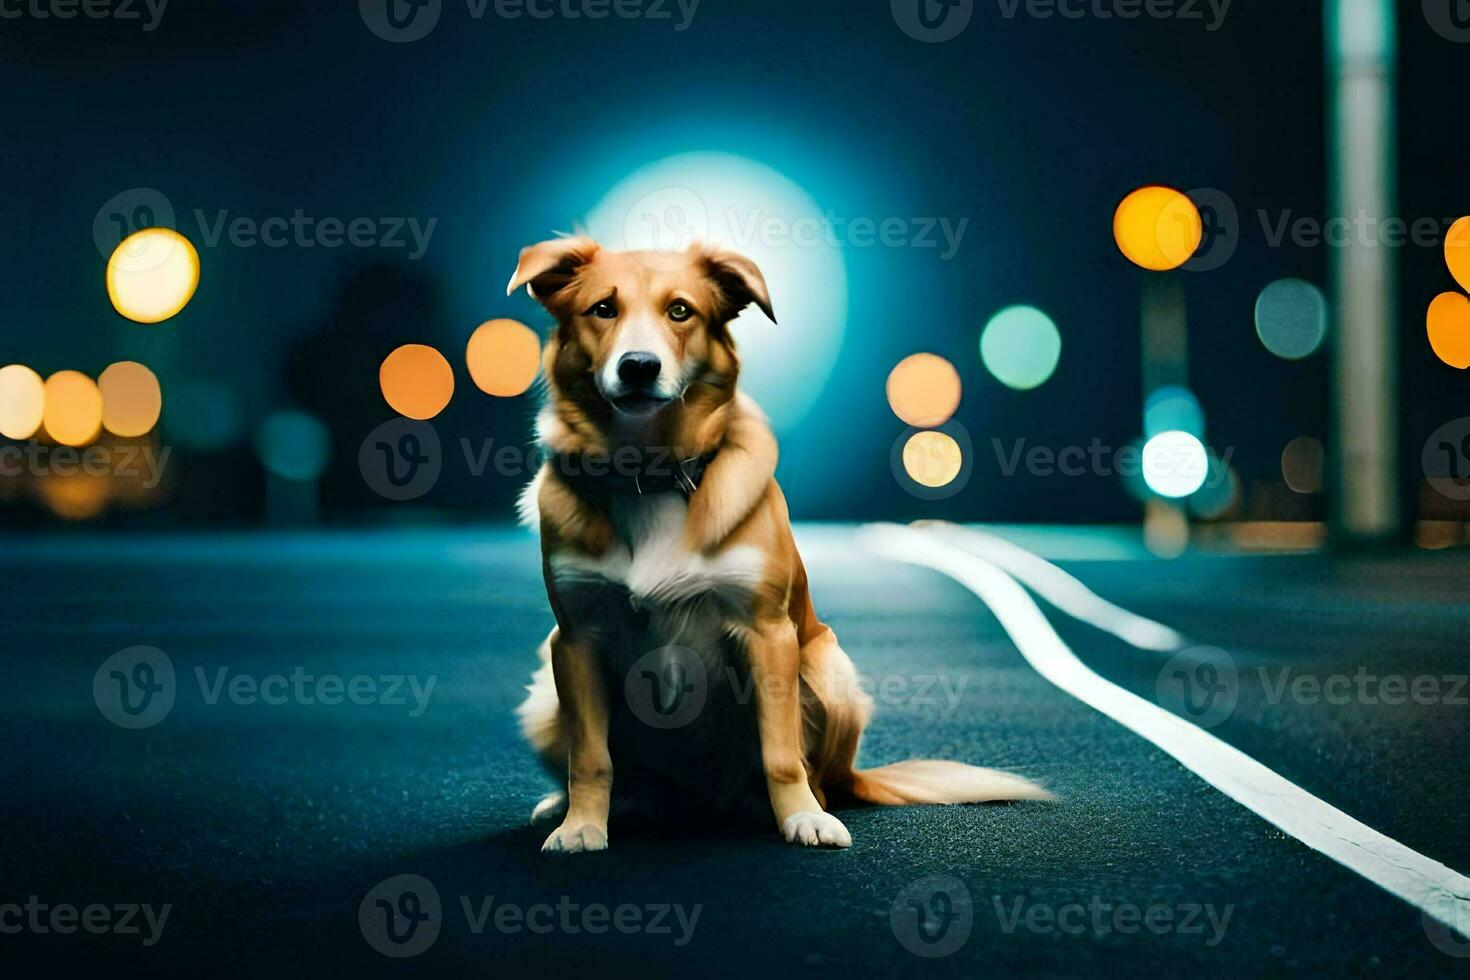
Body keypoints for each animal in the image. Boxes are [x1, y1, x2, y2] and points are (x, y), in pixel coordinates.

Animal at [511, 235, 1052, 852]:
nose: (639, 366)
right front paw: (581, 824)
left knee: (816, 774)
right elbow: (590, 755)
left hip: (831, 669)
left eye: (680, 311)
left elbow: (780, 753)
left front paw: (802, 818)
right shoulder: (575, 638)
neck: (651, 472)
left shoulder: (767, 632)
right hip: (543, 695)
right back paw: (588, 805)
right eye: (603, 309)